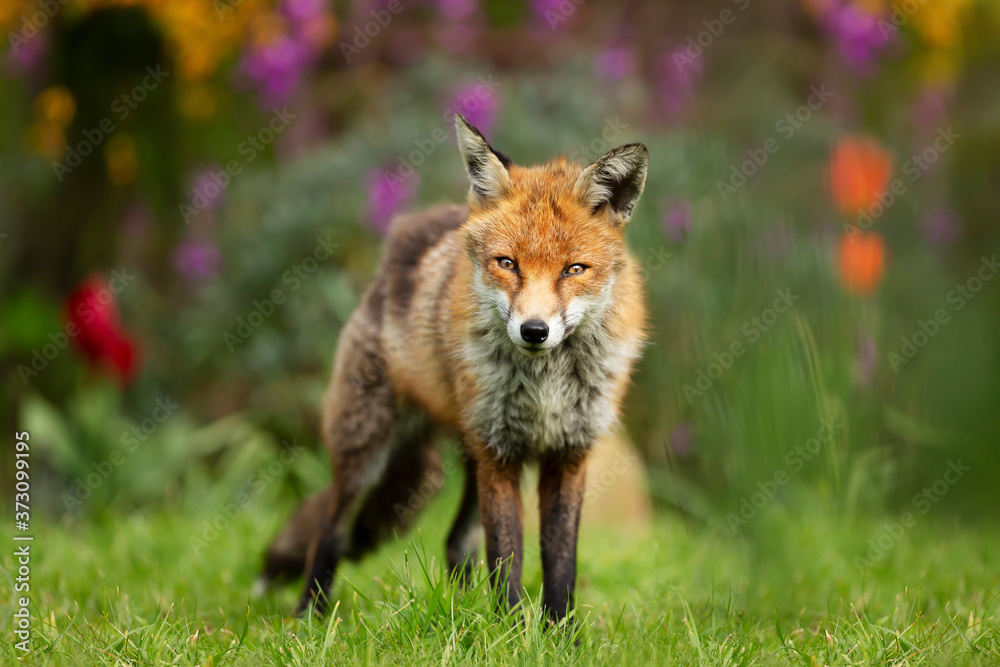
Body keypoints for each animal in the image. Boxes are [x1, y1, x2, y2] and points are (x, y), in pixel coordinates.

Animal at [258, 114, 649, 624]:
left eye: (574, 269)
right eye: (508, 263)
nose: (534, 330)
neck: (545, 387)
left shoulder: (567, 455)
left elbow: (560, 562)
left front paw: (559, 633)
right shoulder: (499, 454)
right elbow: (507, 557)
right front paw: (509, 632)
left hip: (464, 454)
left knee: (456, 542)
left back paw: (459, 611)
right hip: (369, 448)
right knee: (331, 531)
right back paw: (309, 616)